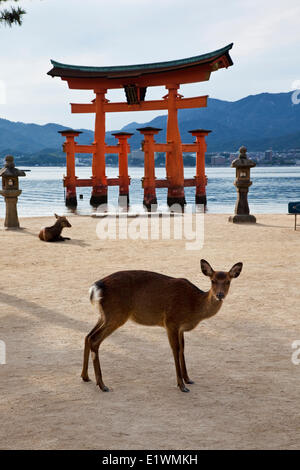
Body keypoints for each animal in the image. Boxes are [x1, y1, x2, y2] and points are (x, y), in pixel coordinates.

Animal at [81, 260, 243, 392]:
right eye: (213, 280)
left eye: (228, 281)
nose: (220, 295)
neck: (194, 307)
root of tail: (96, 287)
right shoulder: (171, 321)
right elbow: (175, 349)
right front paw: (181, 385)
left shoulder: (180, 328)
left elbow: (182, 349)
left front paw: (188, 379)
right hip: (116, 315)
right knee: (94, 339)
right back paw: (102, 385)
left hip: (104, 315)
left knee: (87, 336)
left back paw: (85, 376)